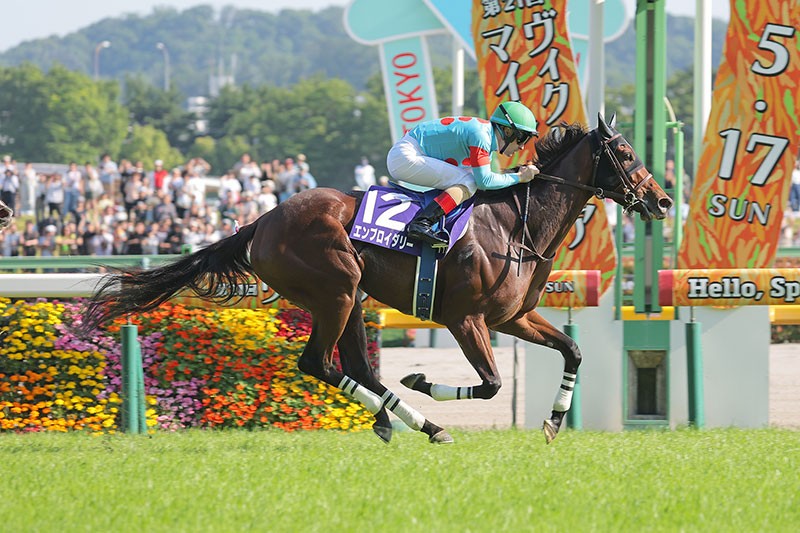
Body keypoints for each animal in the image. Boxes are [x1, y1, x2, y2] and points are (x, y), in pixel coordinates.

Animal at [80, 115, 673, 444]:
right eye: (624, 152)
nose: (664, 200)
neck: (515, 226)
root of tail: (261, 221)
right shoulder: (465, 319)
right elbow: (490, 384)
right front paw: (422, 380)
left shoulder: (515, 316)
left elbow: (573, 350)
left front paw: (553, 422)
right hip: (336, 290)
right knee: (319, 364)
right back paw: (417, 421)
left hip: (353, 297)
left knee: (356, 365)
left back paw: (406, 423)